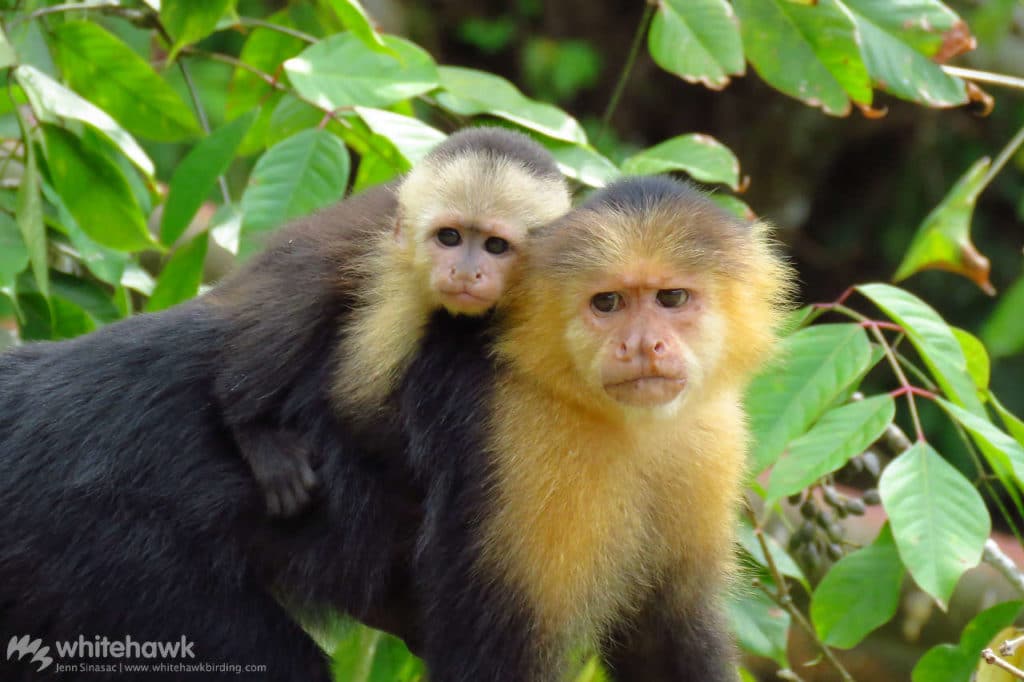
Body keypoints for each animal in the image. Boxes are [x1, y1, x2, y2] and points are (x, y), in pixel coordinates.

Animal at [0, 125, 569, 675]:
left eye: (495, 247)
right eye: (449, 237)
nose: (465, 273)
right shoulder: (398, 281)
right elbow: (356, 404)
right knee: (296, 292)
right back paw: (251, 427)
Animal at [395, 176, 794, 679]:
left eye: (672, 298)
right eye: (607, 303)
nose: (642, 345)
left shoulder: (714, 434)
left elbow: (661, 632)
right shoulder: (524, 439)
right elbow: (493, 653)